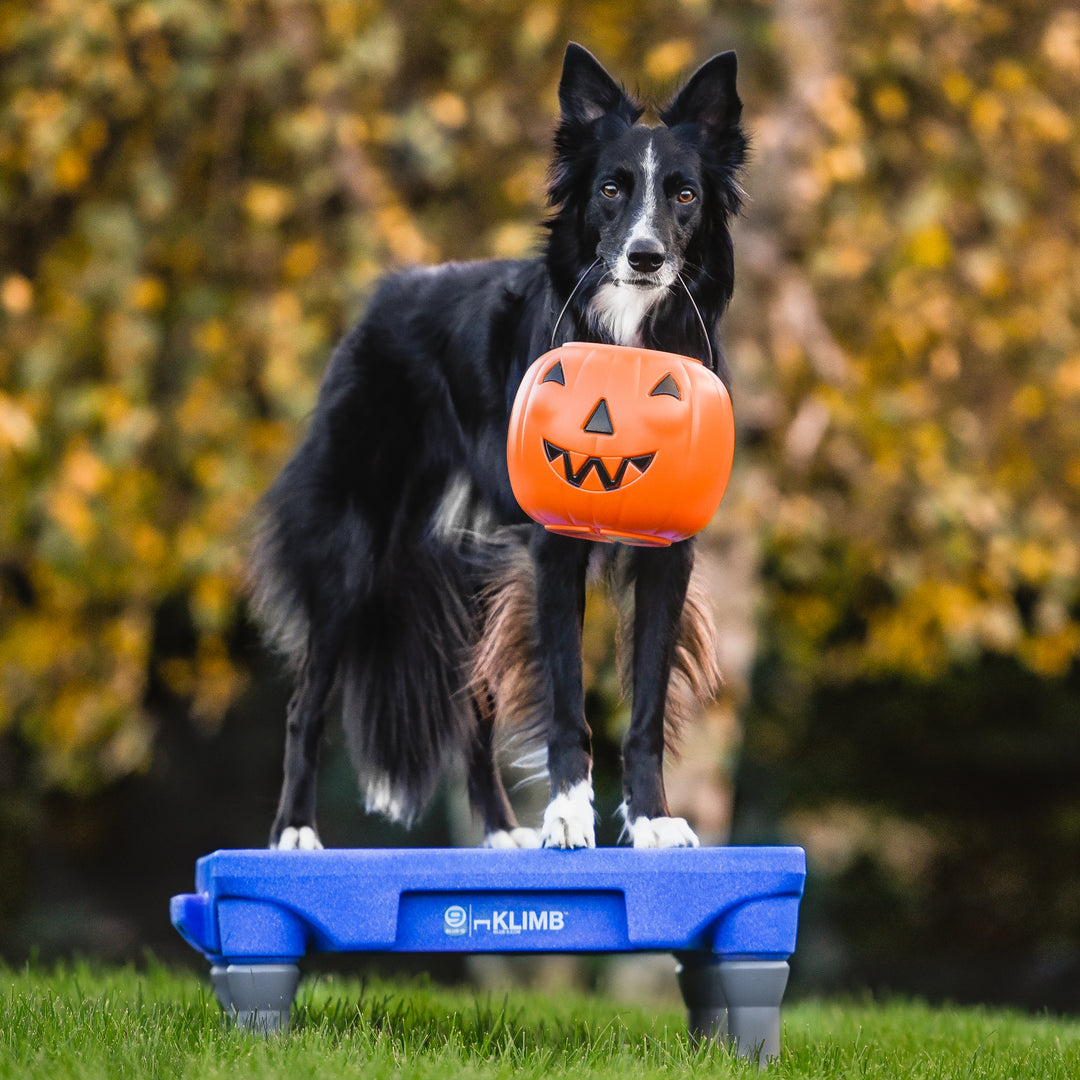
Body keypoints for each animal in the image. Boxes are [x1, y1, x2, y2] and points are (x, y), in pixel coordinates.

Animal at [249, 42, 747, 851]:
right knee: (305, 704)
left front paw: (650, 819)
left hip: (478, 577)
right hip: (354, 552)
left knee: (471, 718)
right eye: (611, 189)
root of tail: (383, 298)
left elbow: (642, 707)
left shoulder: (667, 554)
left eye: (684, 196)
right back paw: (294, 831)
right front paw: (569, 817)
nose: (644, 258)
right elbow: (566, 699)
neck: (629, 335)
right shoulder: (552, 550)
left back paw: (498, 830)